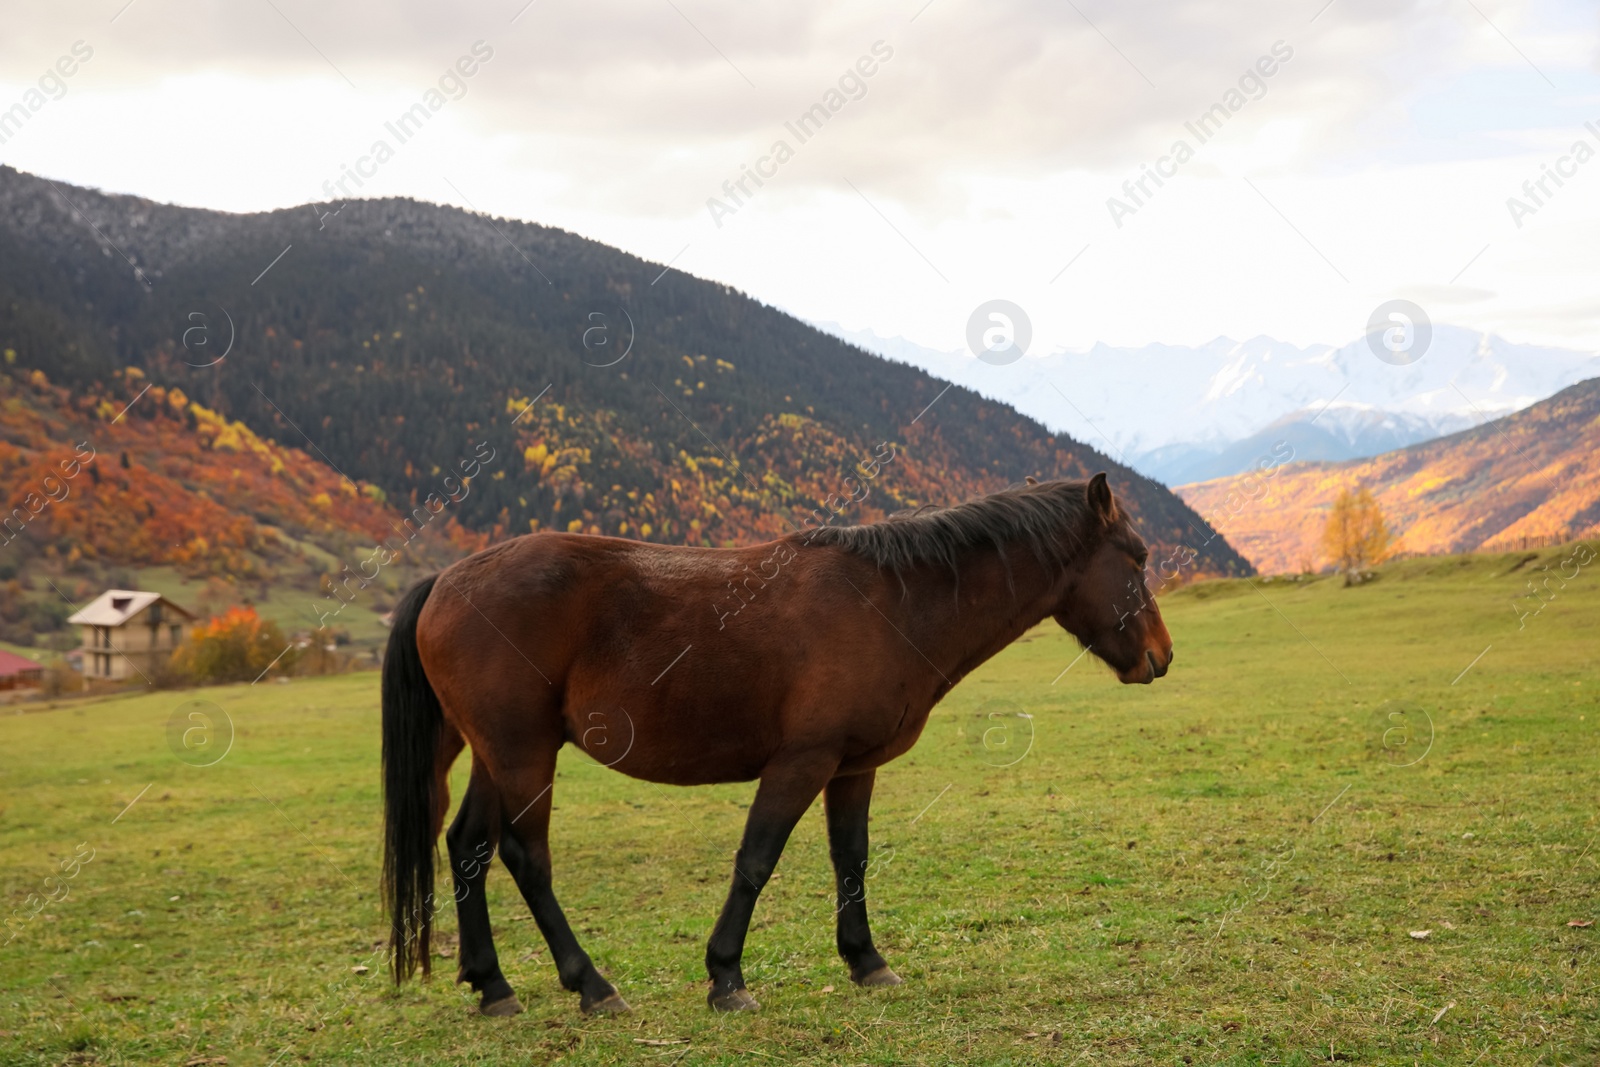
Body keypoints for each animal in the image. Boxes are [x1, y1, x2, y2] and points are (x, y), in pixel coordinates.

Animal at [380, 476, 1171, 1017]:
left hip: (496, 754)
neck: (889, 601)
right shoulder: (802, 762)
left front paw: (866, 960)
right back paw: (592, 985)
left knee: (469, 846)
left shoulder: (852, 767)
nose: (1160, 657)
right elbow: (756, 860)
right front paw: (726, 976)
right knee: (526, 857)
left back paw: (493, 986)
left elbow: (850, 859)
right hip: (524, 754)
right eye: (1136, 556)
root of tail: (447, 580)